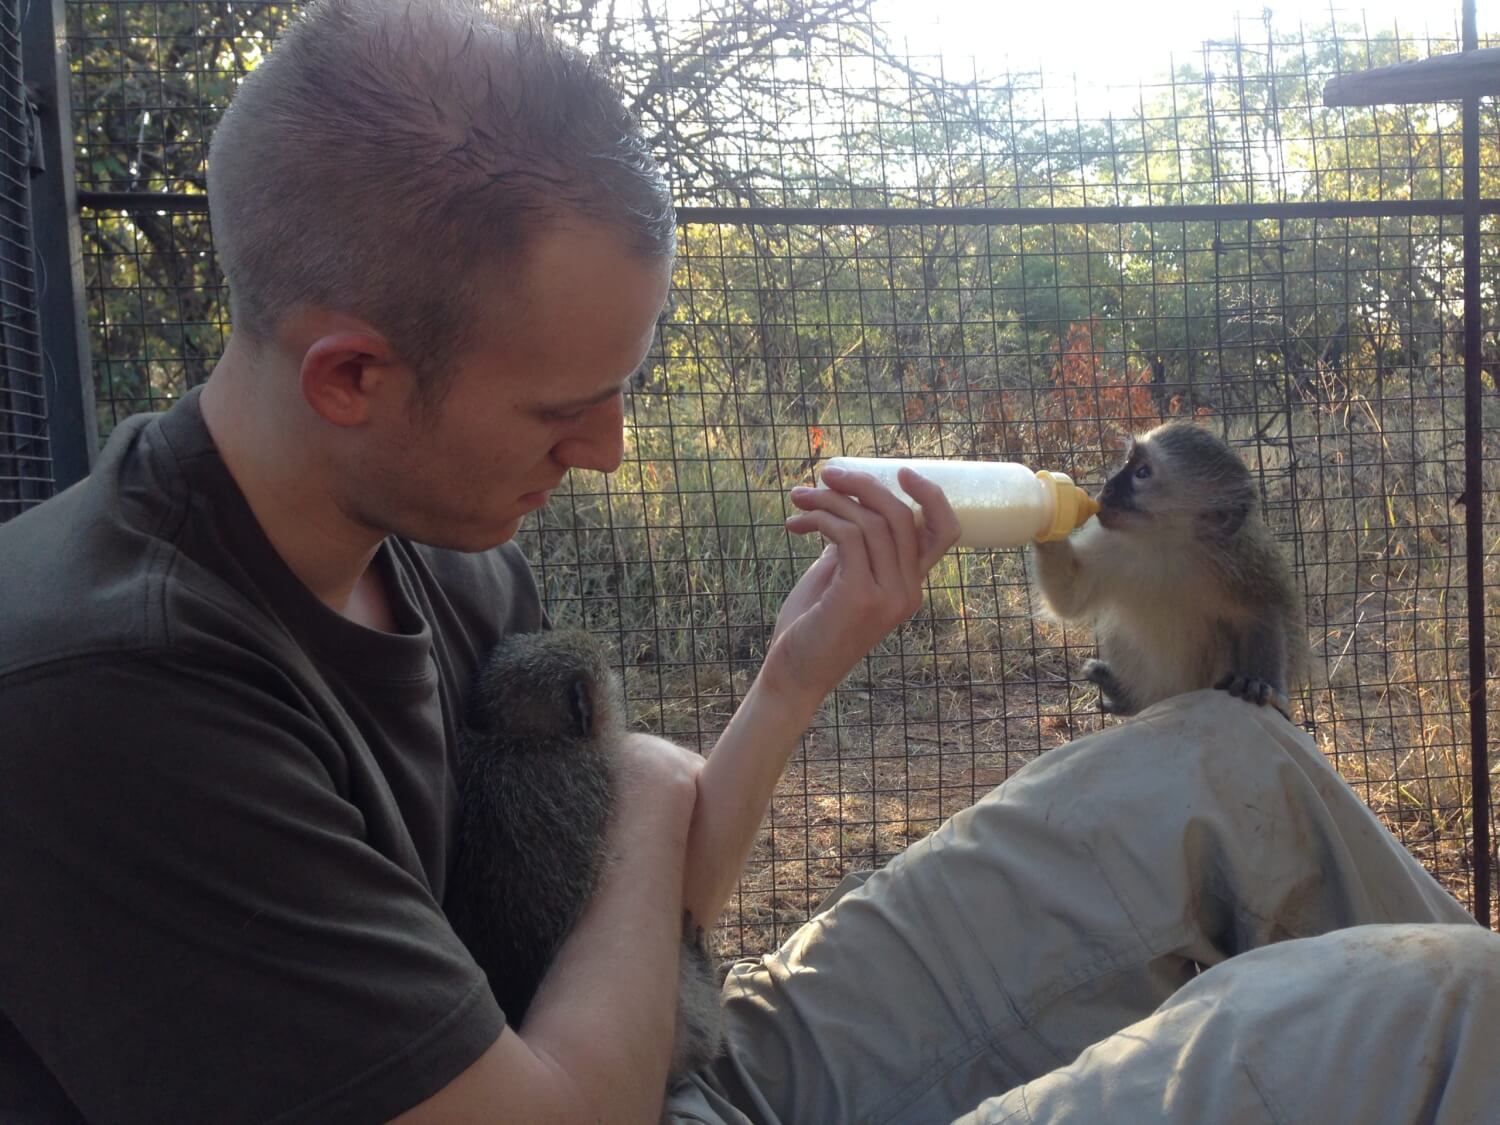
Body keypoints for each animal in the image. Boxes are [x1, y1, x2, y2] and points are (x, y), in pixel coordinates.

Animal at [1028, 421, 1307, 718]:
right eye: (1128, 461)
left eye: (1142, 473)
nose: (1108, 488)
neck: (1163, 545)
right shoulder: (1110, 543)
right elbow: (1071, 596)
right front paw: (1049, 507)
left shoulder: (1239, 562)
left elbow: (1263, 612)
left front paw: (1262, 685)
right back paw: (1127, 698)